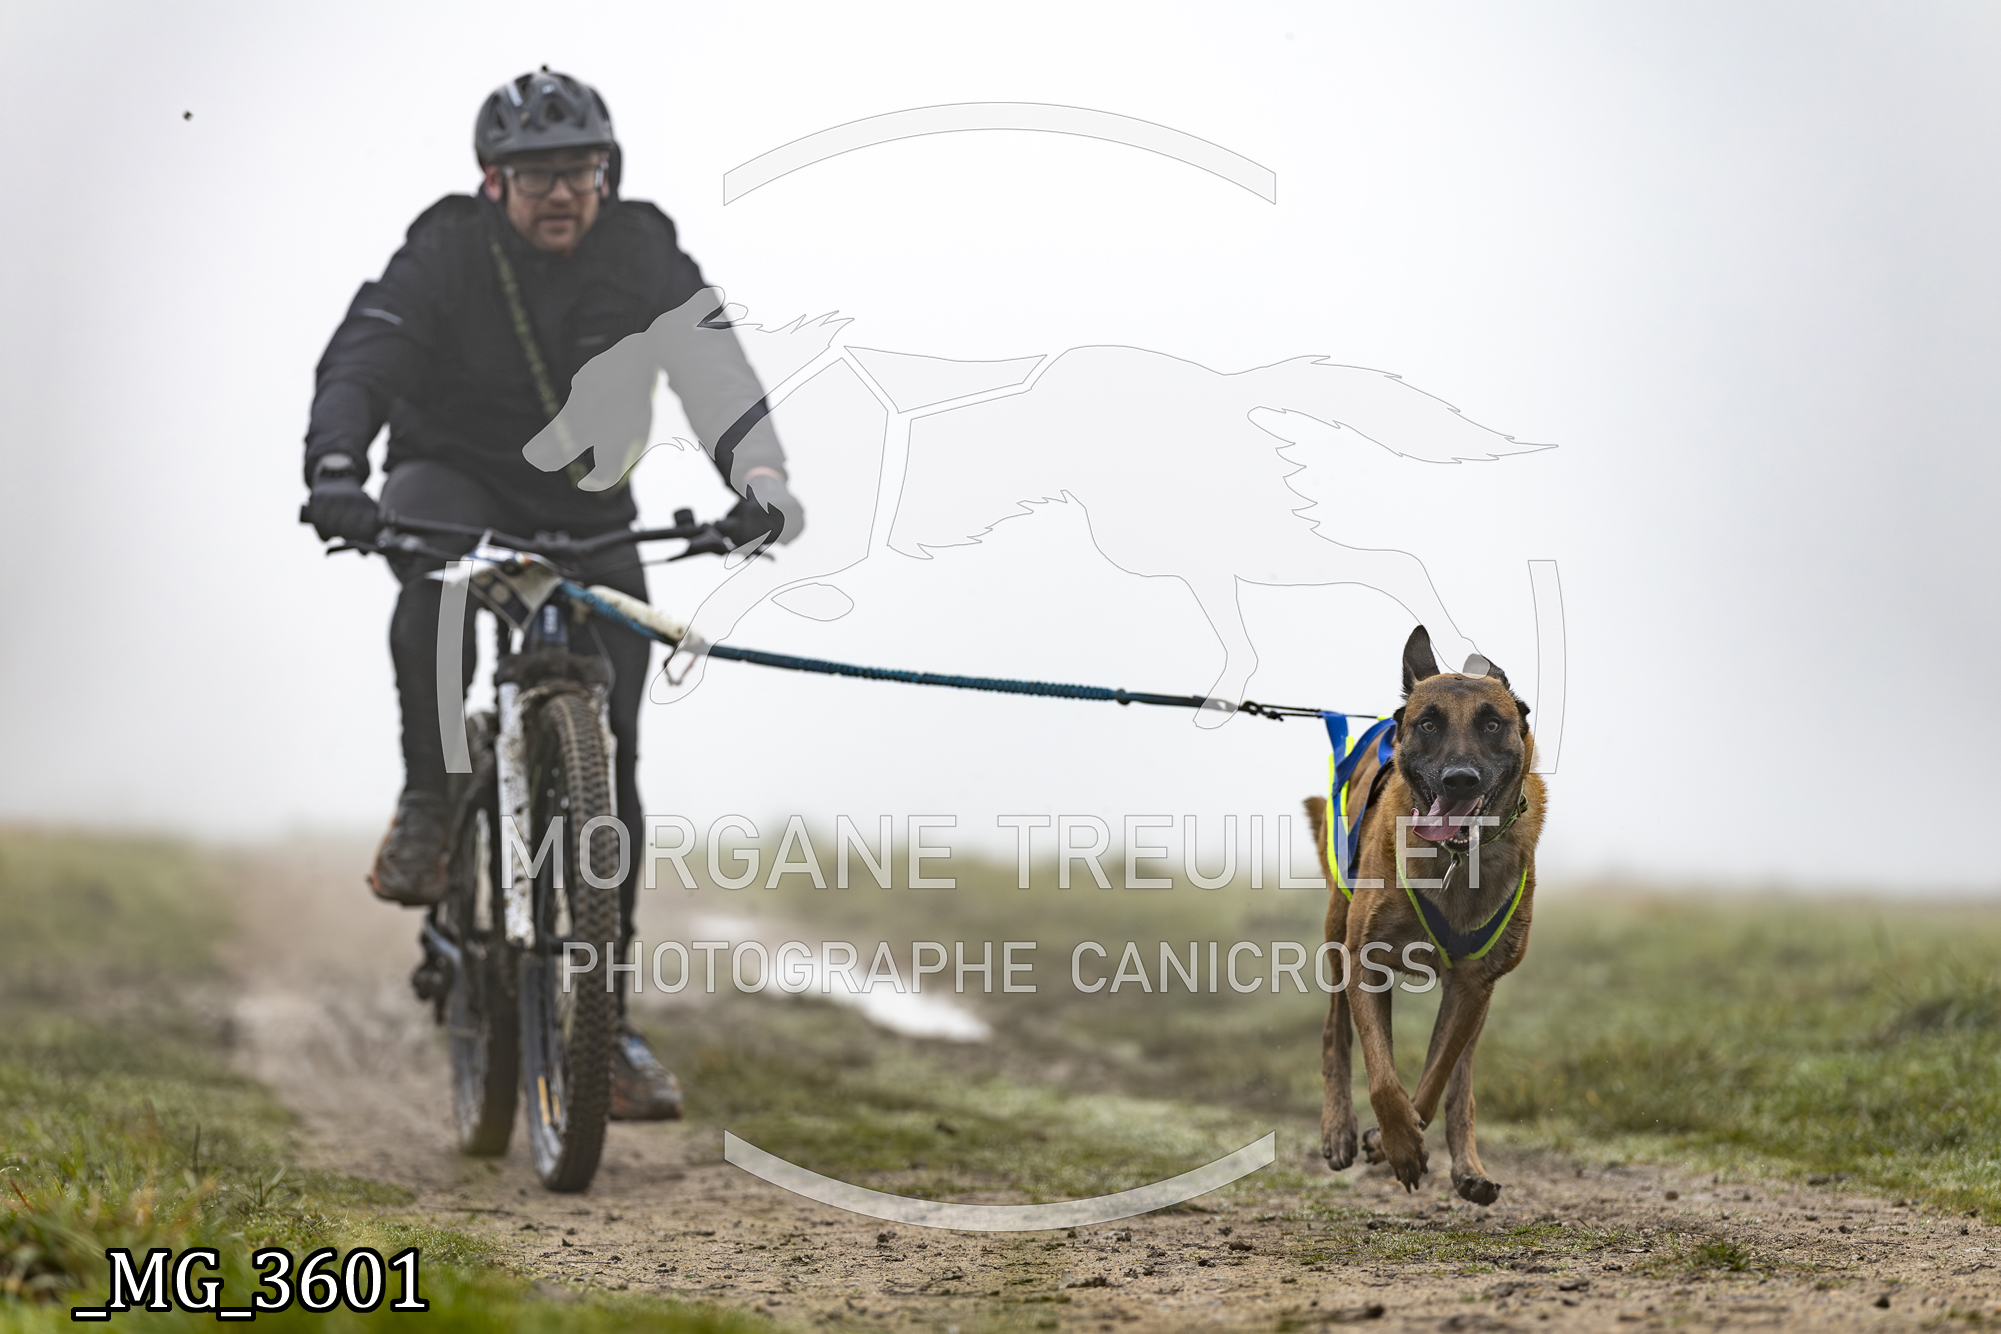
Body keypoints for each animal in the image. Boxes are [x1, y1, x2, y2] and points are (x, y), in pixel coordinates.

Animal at [1304, 624, 1546, 1203]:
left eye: (1492, 723)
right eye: (1429, 723)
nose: (1460, 779)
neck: (1454, 860)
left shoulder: (1473, 985)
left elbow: (1437, 1079)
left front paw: (1392, 1140)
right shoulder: (1366, 963)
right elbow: (1381, 1075)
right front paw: (1395, 1141)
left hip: (1482, 996)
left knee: (1462, 1078)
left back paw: (1469, 1168)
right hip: (1336, 929)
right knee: (1335, 1033)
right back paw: (1340, 1131)